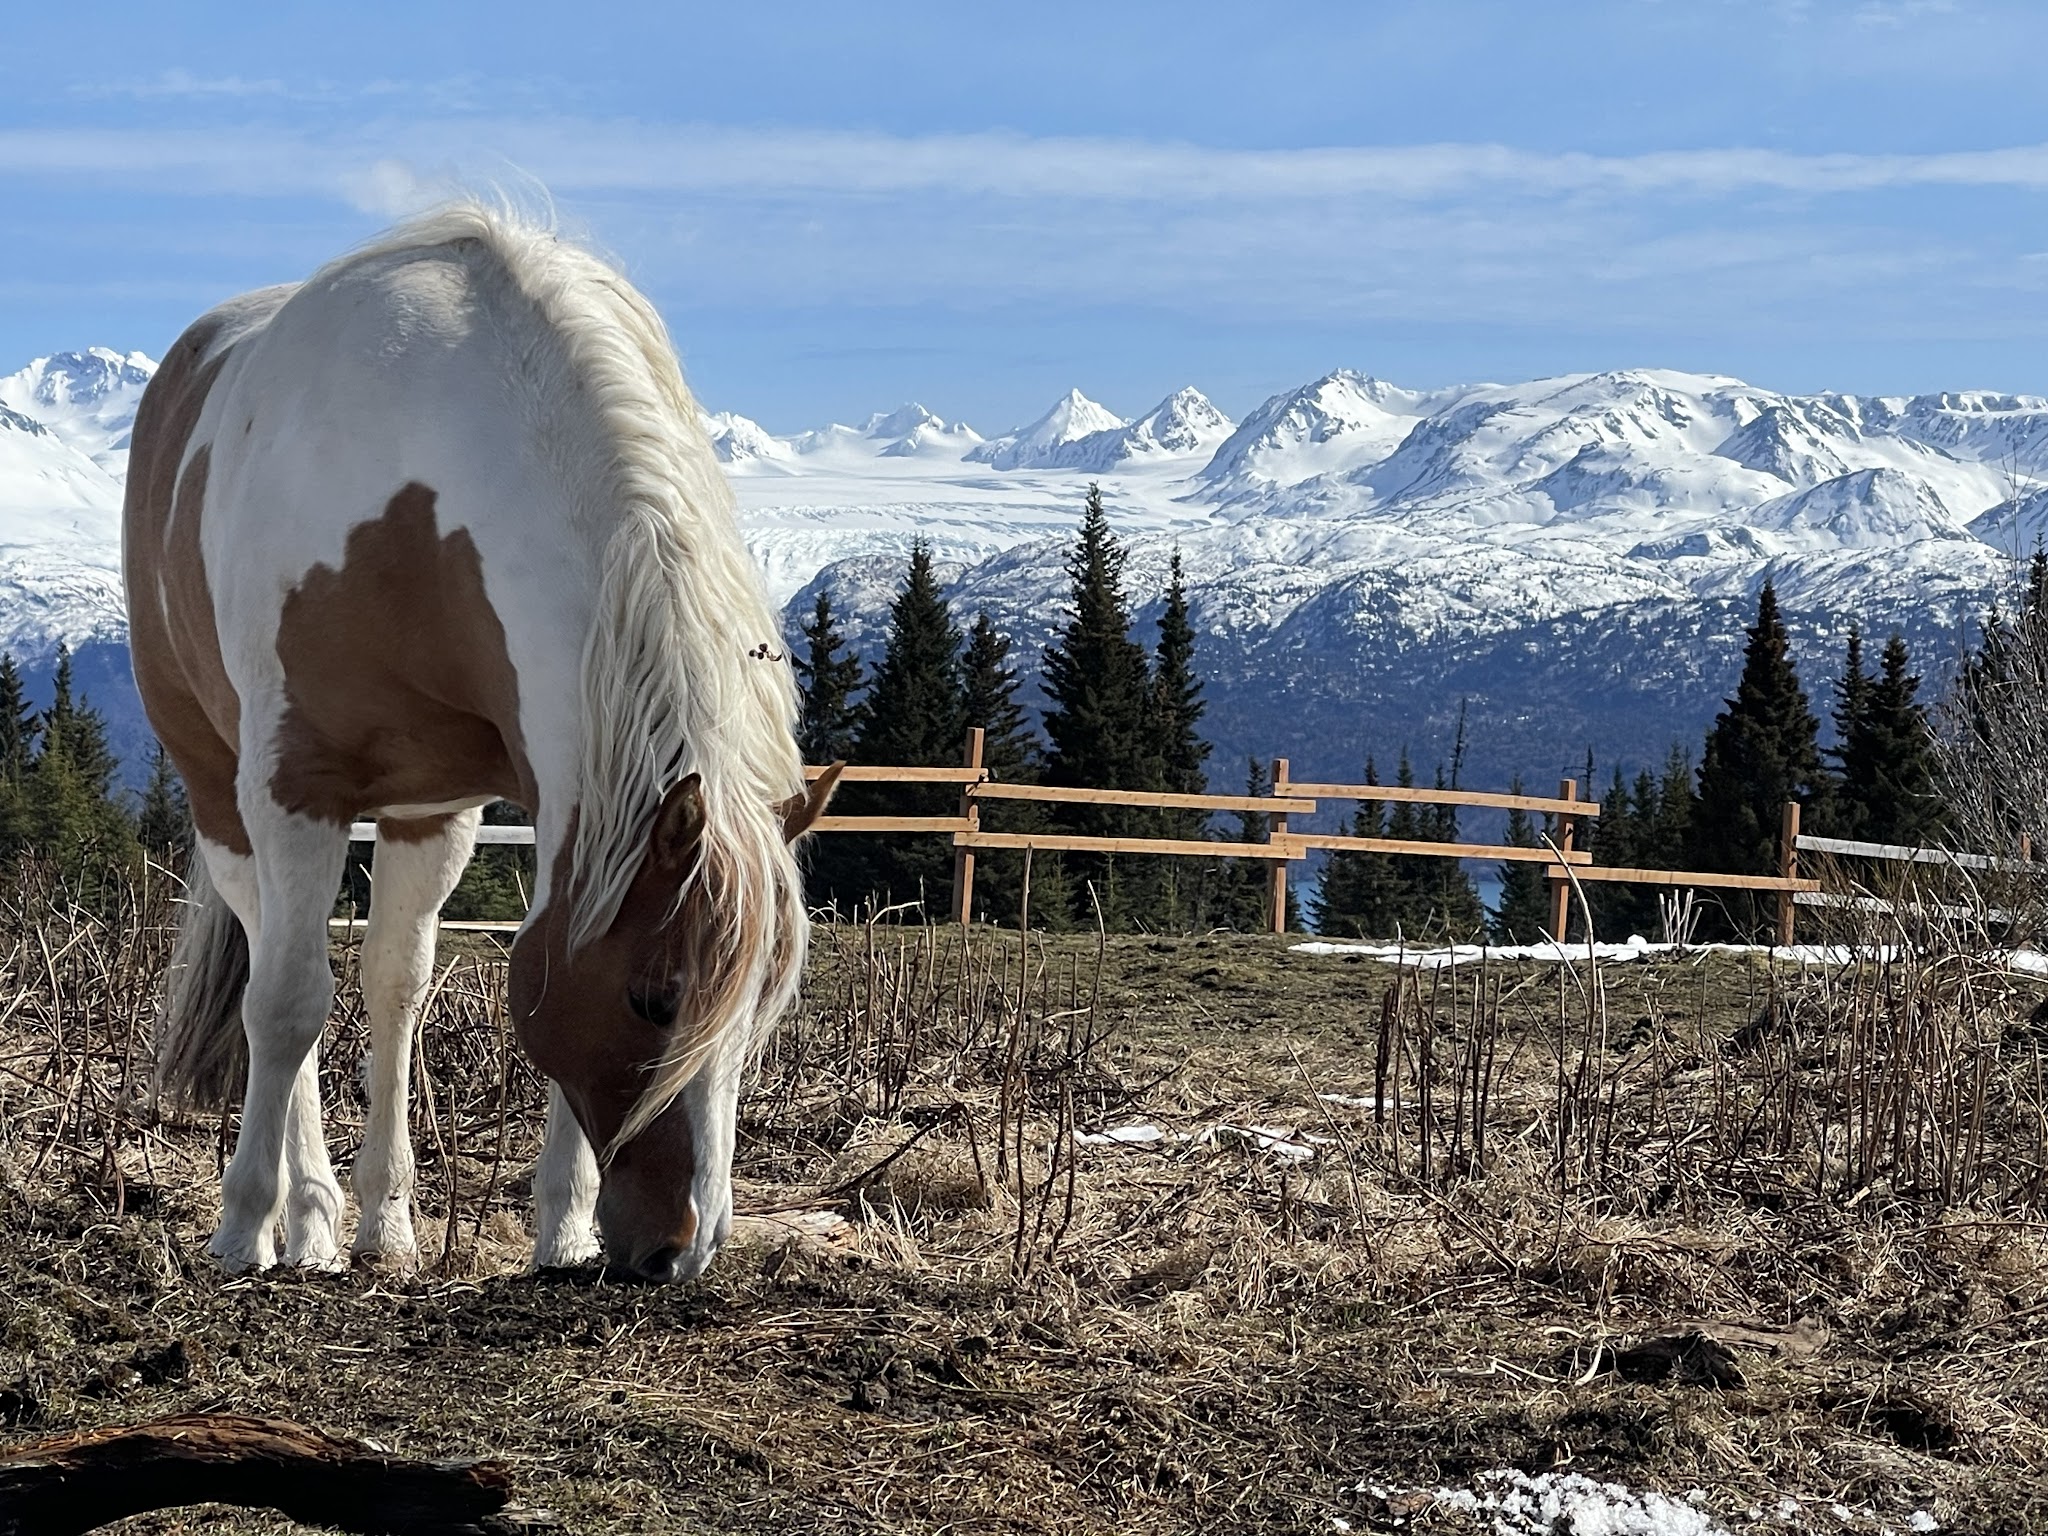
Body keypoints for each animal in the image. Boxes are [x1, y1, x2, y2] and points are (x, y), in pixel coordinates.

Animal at [123, 202, 839, 1282]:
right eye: (655, 998)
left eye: (762, 1005)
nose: (680, 1250)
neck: (417, 502)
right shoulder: (296, 787)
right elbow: (286, 1004)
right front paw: (247, 1227)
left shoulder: (502, 802)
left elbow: (468, 985)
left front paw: (559, 1230)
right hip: (221, 796)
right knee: (274, 973)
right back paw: (308, 1223)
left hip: (421, 819)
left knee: (392, 987)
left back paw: (377, 1224)